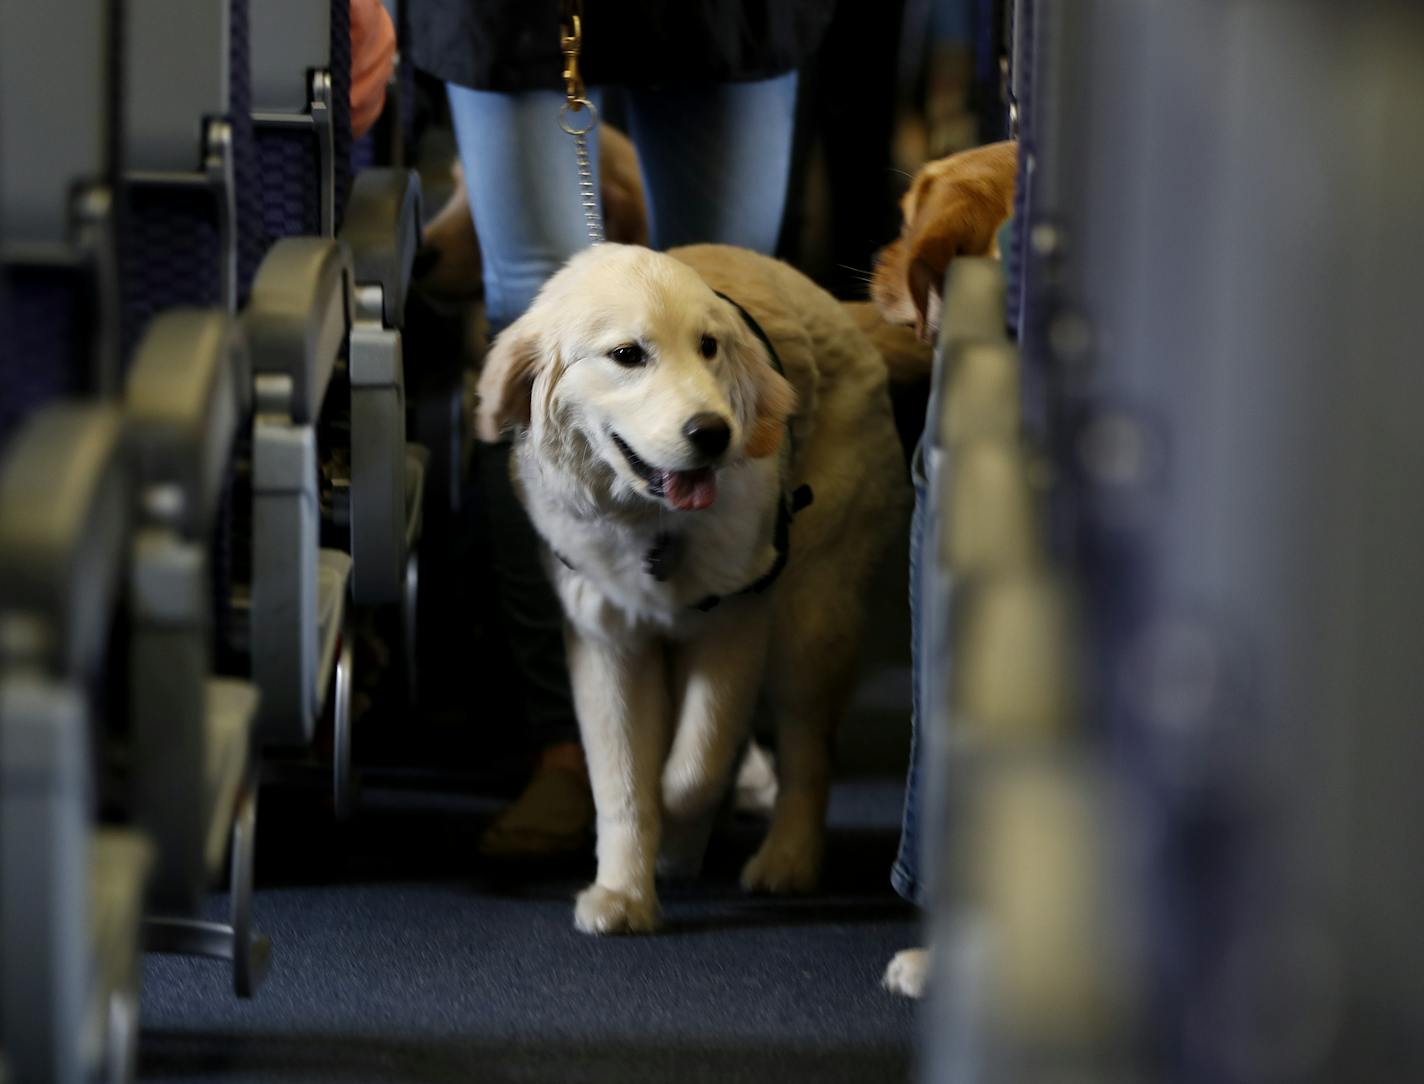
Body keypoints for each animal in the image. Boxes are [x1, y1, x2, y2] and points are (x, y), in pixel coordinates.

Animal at [472, 243, 905, 928]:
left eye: (709, 347)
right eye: (628, 354)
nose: (713, 433)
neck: (654, 525)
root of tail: (838, 308)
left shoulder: (736, 621)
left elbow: (694, 765)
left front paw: (676, 832)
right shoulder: (606, 640)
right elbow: (623, 781)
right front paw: (623, 893)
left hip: (811, 615)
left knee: (809, 750)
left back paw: (786, 859)